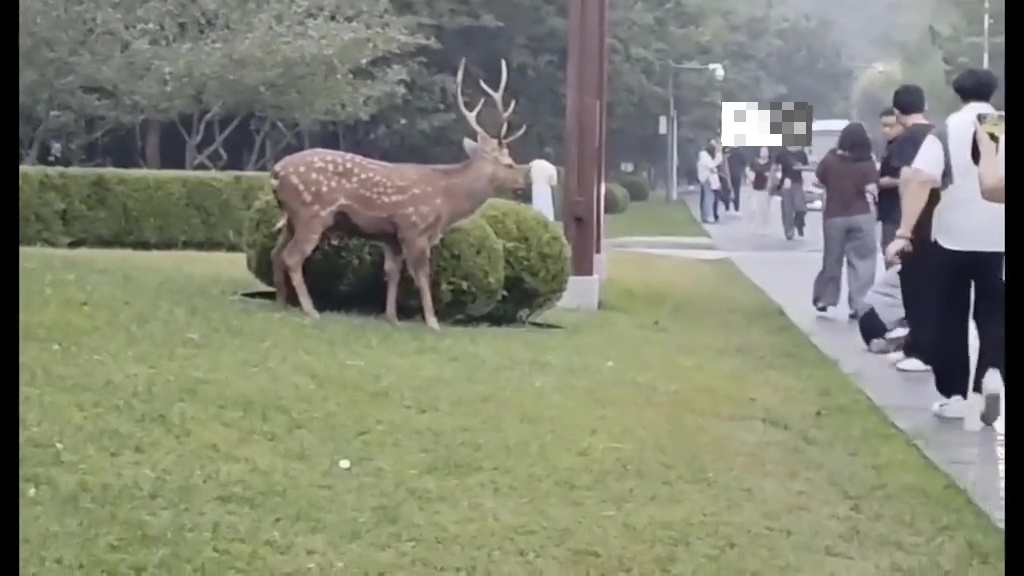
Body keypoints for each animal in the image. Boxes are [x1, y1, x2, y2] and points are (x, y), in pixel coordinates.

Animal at [268, 58, 528, 330]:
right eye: (509, 163)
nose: (523, 181)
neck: (447, 202)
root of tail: (276, 172)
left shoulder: (390, 237)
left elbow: (392, 272)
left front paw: (392, 317)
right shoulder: (414, 227)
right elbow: (422, 276)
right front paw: (433, 322)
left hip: (292, 218)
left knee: (276, 254)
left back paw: (281, 305)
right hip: (312, 212)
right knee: (292, 257)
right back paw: (311, 310)